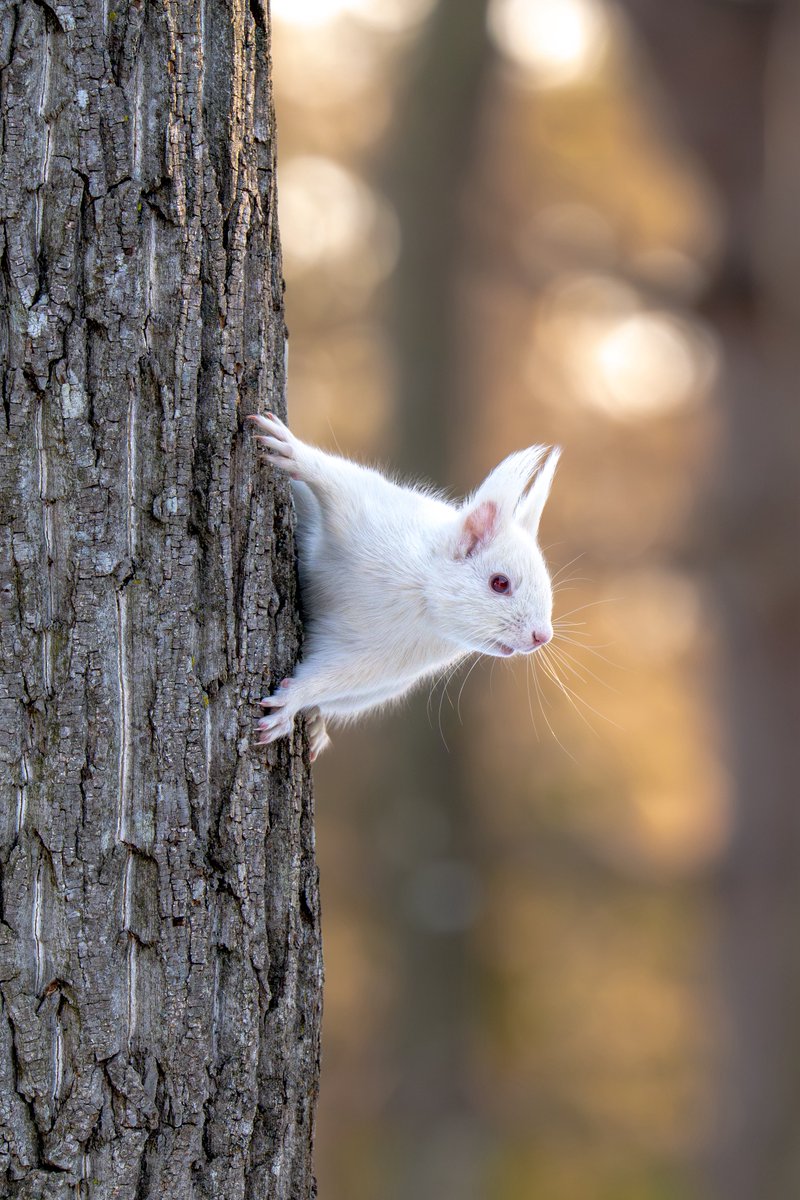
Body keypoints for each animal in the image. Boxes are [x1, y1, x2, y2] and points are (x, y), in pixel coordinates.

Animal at [248, 412, 560, 760]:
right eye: (500, 583)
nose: (542, 637)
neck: (419, 596)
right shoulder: (368, 513)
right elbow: (340, 481)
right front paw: (292, 451)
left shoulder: (375, 661)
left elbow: (330, 677)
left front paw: (290, 704)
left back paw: (315, 726)